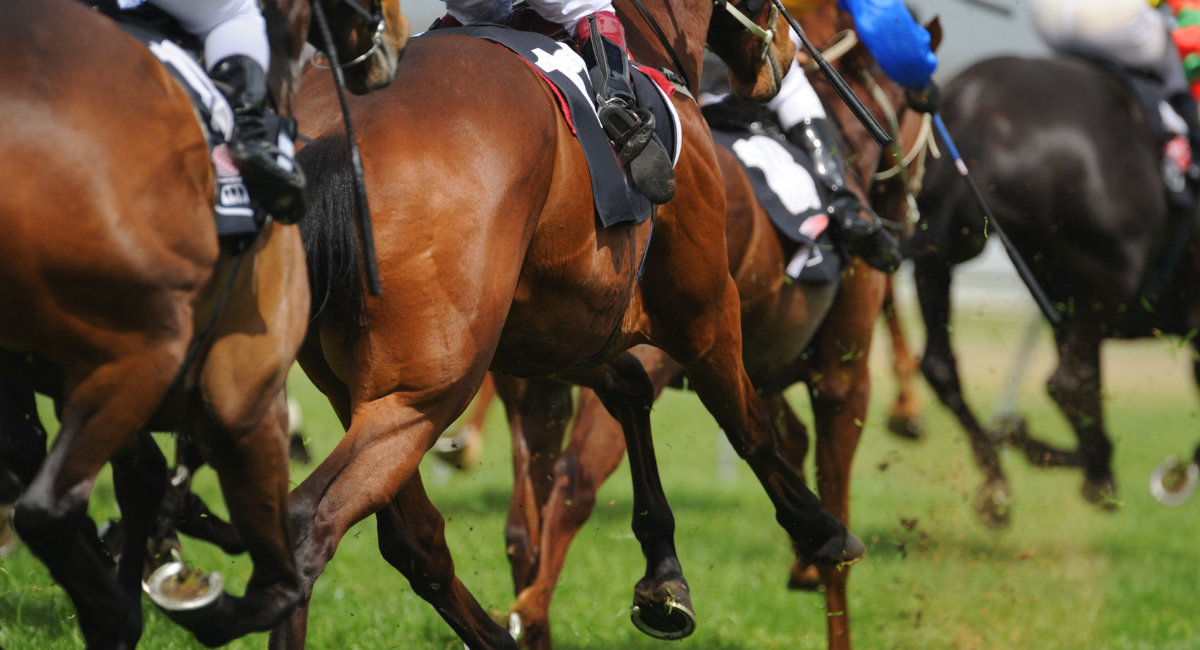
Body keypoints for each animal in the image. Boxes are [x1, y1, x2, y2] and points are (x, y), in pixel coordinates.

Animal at [0, 2, 403, 647]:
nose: (397, 34)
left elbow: (138, 473)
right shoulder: (244, 396)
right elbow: (278, 578)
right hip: (147, 356)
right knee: (48, 508)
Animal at [279, 2, 878, 647]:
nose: (785, 56)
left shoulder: (555, 338)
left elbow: (630, 391)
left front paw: (664, 574)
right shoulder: (705, 310)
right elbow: (749, 426)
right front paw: (822, 530)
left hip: (356, 388)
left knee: (415, 541)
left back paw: (497, 632)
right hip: (423, 392)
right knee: (310, 527)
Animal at [496, 6, 936, 650]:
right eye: (922, 104)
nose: (900, 219)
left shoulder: (754, 365)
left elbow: (783, 440)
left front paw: (803, 558)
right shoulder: (840, 379)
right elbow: (828, 499)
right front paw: (824, 560)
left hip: (534, 374)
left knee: (524, 521)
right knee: (576, 482)